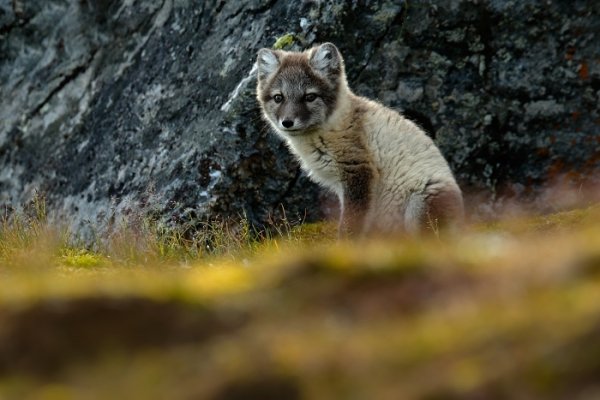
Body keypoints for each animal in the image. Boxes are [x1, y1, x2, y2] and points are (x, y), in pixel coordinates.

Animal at [255, 42, 462, 236]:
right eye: (278, 98)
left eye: (310, 97)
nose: (287, 122)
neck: (332, 124)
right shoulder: (341, 186)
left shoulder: (357, 170)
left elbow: (350, 223)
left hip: (420, 204)